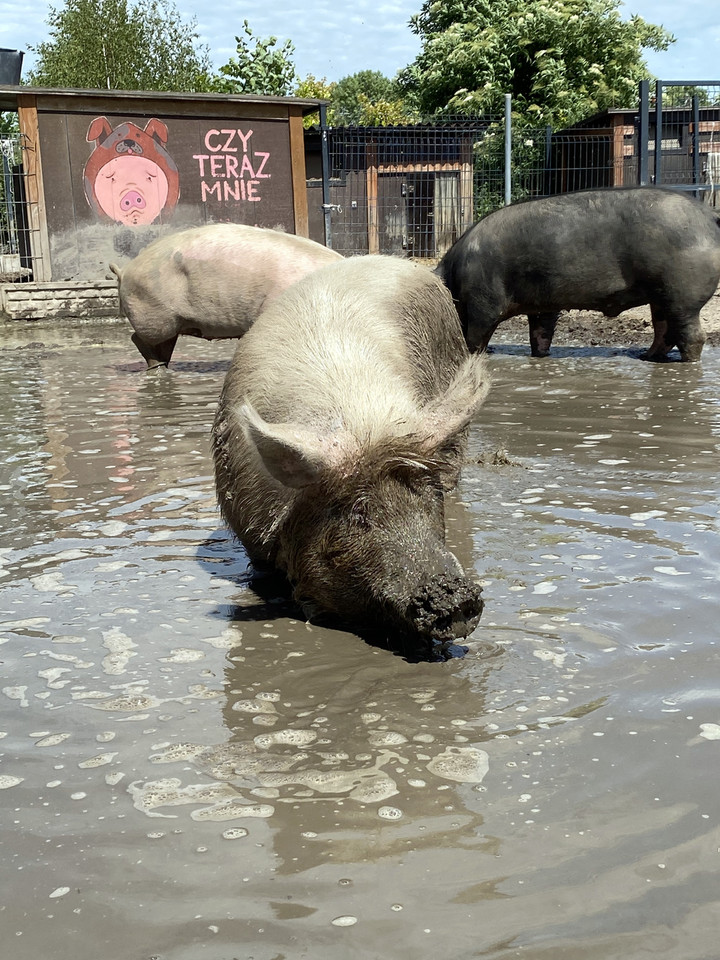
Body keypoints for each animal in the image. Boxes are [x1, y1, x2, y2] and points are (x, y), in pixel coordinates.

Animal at [109, 223, 340, 370]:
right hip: (154, 315)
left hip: (169, 322)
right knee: (139, 338)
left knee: (163, 346)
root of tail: (124, 270)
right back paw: (156, 369)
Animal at [436, 186, 720, 362]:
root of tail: (709, 216)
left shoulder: (484, 302)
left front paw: (471, 355)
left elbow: (475, 338)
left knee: (692, 335)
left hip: (682, 293)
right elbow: (540, 334)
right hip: (660, 296)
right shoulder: (543, 304)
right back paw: (646, 357)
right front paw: (540, 356)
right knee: (665, 330)